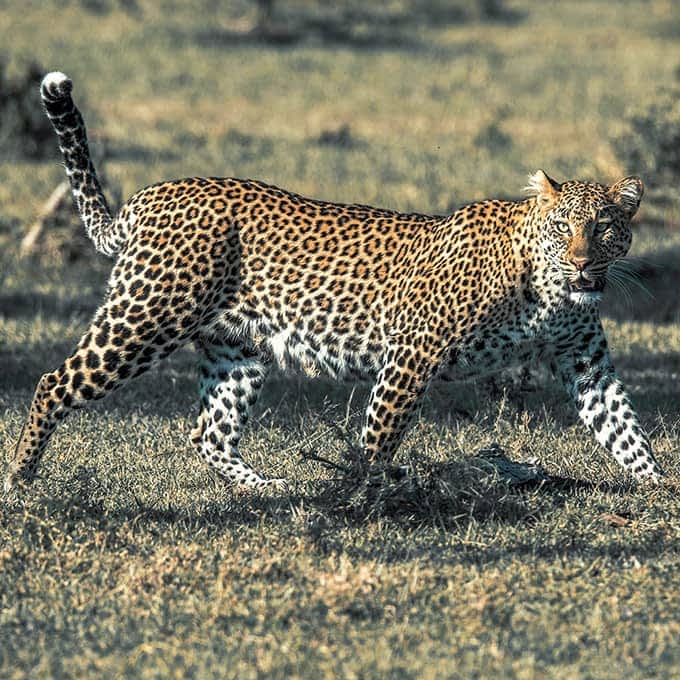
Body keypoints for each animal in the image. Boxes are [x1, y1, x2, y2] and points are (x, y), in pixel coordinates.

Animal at [3, 70, 664, 494]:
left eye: (605, 229)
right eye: (562, 227)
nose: (583, 264)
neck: (551, 295)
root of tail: (151, 195)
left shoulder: (585, 361)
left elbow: (626, 430)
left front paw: (662, 491)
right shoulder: (413, 352)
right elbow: (380, 435)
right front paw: (358, 496)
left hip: (235, 349)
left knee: (210, 432)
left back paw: (266, 488)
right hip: (147, 318)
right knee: (54, 382)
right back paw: (22, 477)